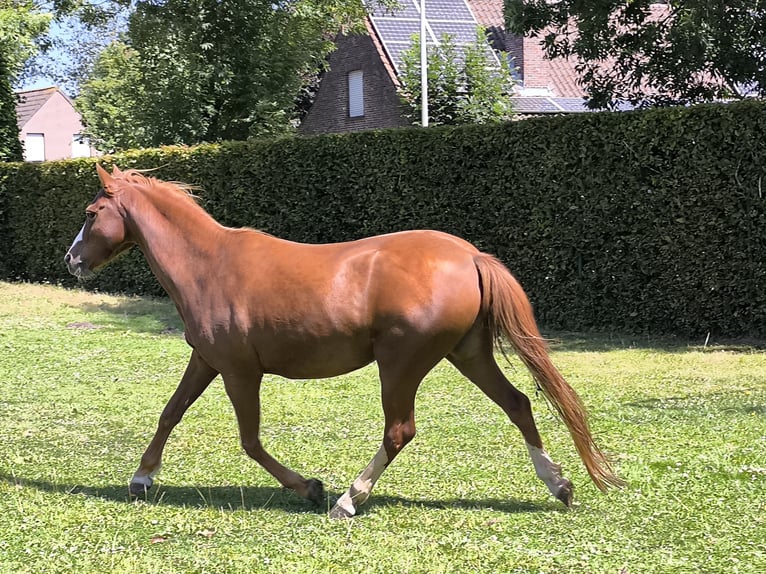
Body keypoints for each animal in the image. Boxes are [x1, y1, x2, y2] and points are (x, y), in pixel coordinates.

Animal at [63, 164, 620, 520]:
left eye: (91, 212)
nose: (71, 261)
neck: (207, 265)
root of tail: (470, 256)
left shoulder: (240, 370)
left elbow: (250, 440)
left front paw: (309, 487)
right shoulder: (207, 359)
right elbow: (170, 412)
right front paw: (142, 478)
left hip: (401, 362)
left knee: (400, 430)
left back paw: (349, 499)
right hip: (467, 354)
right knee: (519, 404)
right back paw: (560, 484)